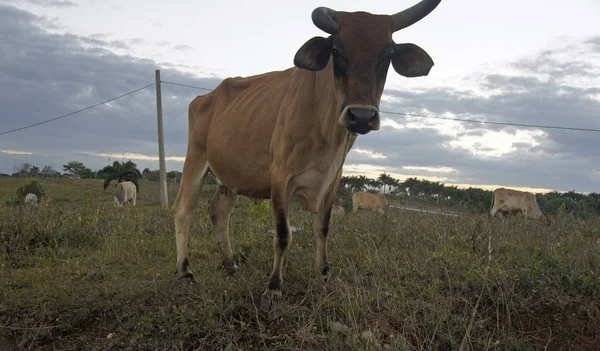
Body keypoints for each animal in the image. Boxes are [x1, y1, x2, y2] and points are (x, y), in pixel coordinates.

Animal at [171, 0, 442, 308]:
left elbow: (322, 227)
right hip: (196, 159)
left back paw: (230, 265)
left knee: (218, 213)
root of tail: (206, 97)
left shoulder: (333, 179)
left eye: (388, 54)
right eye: (336, 50)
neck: (328, 132)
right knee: (183, 210)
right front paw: (274, 286)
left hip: (229, 178)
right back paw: (185, 271)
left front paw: (324, 273)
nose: (361, 116)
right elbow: (282, 233)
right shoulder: (280, 177)